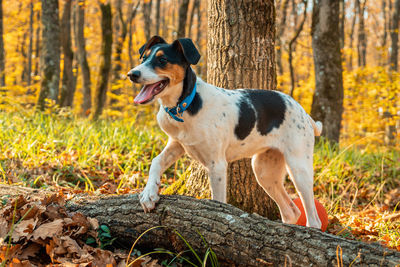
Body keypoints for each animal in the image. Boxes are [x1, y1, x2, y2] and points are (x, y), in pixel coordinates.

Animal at [129, 34, 324, 229]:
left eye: (162, 60)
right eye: (144, 58)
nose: (132, 74)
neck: (185, 105)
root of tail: (304, 113)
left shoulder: (217, 165)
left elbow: (218, 203)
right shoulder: (177, 144)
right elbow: (156, 161)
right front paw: (149, 193)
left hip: (299, 167)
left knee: (313, 218)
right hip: (264, 170)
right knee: (292, 211)